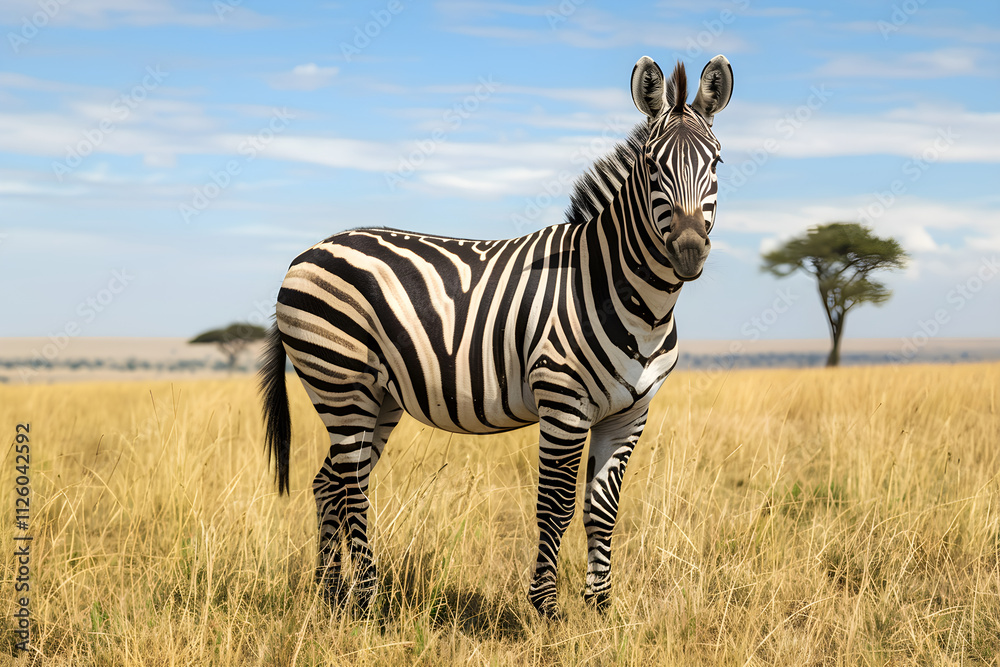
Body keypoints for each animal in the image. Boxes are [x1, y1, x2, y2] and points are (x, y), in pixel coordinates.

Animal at [259, 55, 733, 618]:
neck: (631, 297)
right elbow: (555, 506)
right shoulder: (563, 402)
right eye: (652, 166)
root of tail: (305, 253)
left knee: (328, 483)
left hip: (378, 396)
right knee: (351, 489)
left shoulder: (630, 413)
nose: (688, 251)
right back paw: (368, 603)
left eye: (717, 164)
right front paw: (546, 610)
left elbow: (602, 510)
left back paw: (331, 596)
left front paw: (600, 610)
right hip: (339, 382)